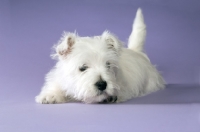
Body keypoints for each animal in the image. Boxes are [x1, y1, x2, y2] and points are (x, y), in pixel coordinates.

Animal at [35, 8, 165, 104]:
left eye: (108, 65)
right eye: (83, 68)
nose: (102, 84)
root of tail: (136, 51)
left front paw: (112, 96)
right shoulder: (61, 79)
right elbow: (57, 85)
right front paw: (50, 95)